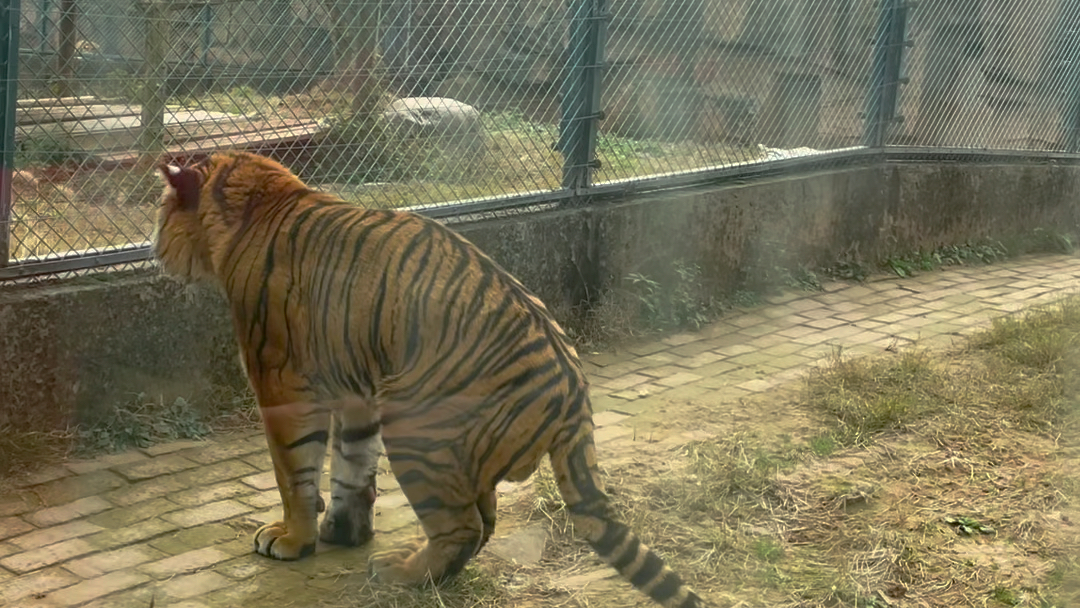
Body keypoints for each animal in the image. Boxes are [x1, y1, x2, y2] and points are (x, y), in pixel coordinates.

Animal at [154, 150, 707, 608]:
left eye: (161, 214)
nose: (156, 251)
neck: (261, 198)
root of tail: (572, 391)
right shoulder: (357, 393)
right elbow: (352, 466)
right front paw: (342, 531)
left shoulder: (282, 384)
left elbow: (295, 473)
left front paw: (292, 538)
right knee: (483, 518)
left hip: (416, 427)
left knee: (462, 526)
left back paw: (400, 571)